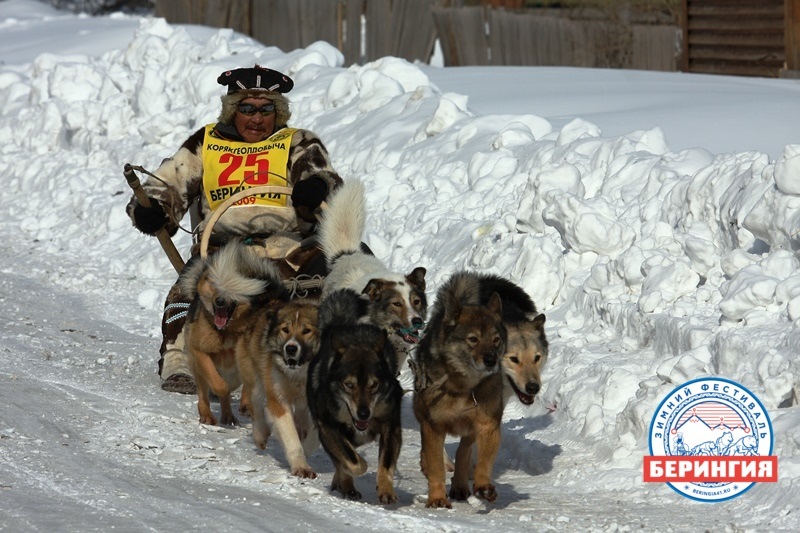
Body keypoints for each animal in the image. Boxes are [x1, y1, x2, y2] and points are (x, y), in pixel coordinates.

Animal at [180, 241, 286, 428]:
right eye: (214, 283)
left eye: (234, 288)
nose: (220, 301)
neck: (227, 330)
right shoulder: (199, 351)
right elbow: (219, 385)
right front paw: (222, 392)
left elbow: (246, 386)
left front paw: (245, 404)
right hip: (198, 367)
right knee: (204, 393)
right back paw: (207, 414)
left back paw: (229, 415)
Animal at [236, 298, 324, 476]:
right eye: (285, 330)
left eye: (306, 330)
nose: (290, 348)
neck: (300, 374)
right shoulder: (278, 399)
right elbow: (291, 436)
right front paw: (300, 465)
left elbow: (313, 437)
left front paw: (306, 450)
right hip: (255, 380)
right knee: (256, 406)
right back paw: (260, 435)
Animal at [308, 290, 404, 502]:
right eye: (349, 385)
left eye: (374, 384)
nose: (363, 414)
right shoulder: (327, 427)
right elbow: (353, 463)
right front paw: (351, 474)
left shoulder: (390, 426)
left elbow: (386, 463)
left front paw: (386, 489)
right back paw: (345, 484)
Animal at [412, 270, 506, 508]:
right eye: (473, 339)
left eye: (496, 340)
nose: (491, 360)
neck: (464, 386)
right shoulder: (433, 426)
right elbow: (436, 466)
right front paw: (437, 498)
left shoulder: (487, 425)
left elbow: (482, 462)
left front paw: (483, 486)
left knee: (464, 450)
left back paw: (460, 485)